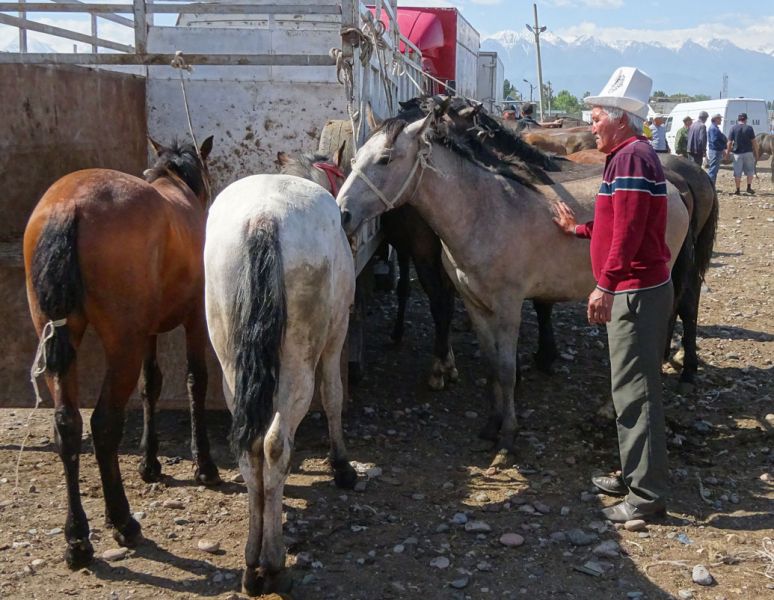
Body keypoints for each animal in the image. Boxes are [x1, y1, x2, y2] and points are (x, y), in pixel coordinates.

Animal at [23, 135, 218, 568]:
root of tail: (68, 206)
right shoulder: (194, 318)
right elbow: (195, 380)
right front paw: (204, 465)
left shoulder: (148, 331)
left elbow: (152, 386)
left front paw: (150, 462)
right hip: (121, 343)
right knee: (103, 424)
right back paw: (122, 521)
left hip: (63, 338)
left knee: (67, 425)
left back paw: (77, 538)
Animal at [203, 173, 354, 596]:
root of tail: (263, 218)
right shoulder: (337, 333)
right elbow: (334, 395)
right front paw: (341, 465)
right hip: (298, 362)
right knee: (273, 444)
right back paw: (272, 564)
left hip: (231, 366)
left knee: (249, 448)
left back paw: (252, 562)